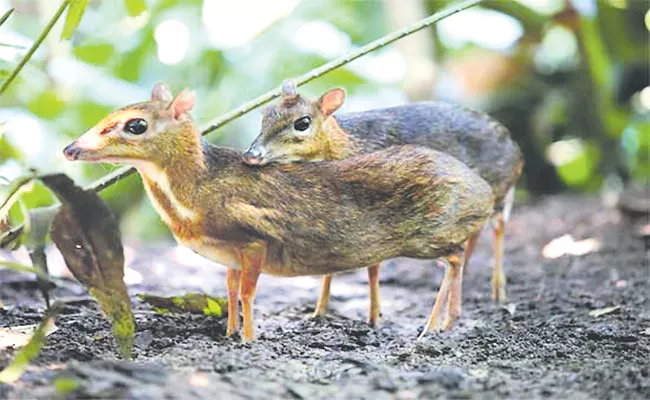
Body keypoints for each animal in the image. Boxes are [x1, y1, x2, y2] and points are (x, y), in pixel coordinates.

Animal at [64, 83, 492, 342]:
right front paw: (229, 334)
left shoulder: (255, 240)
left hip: (431, 235)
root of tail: (483, 192)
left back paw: (433, 327)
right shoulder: (228, 254)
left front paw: (250, 339)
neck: (195, 193)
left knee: (456, 258)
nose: (70, 148)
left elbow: (249, 292)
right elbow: (230, 289)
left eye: (135, 125)